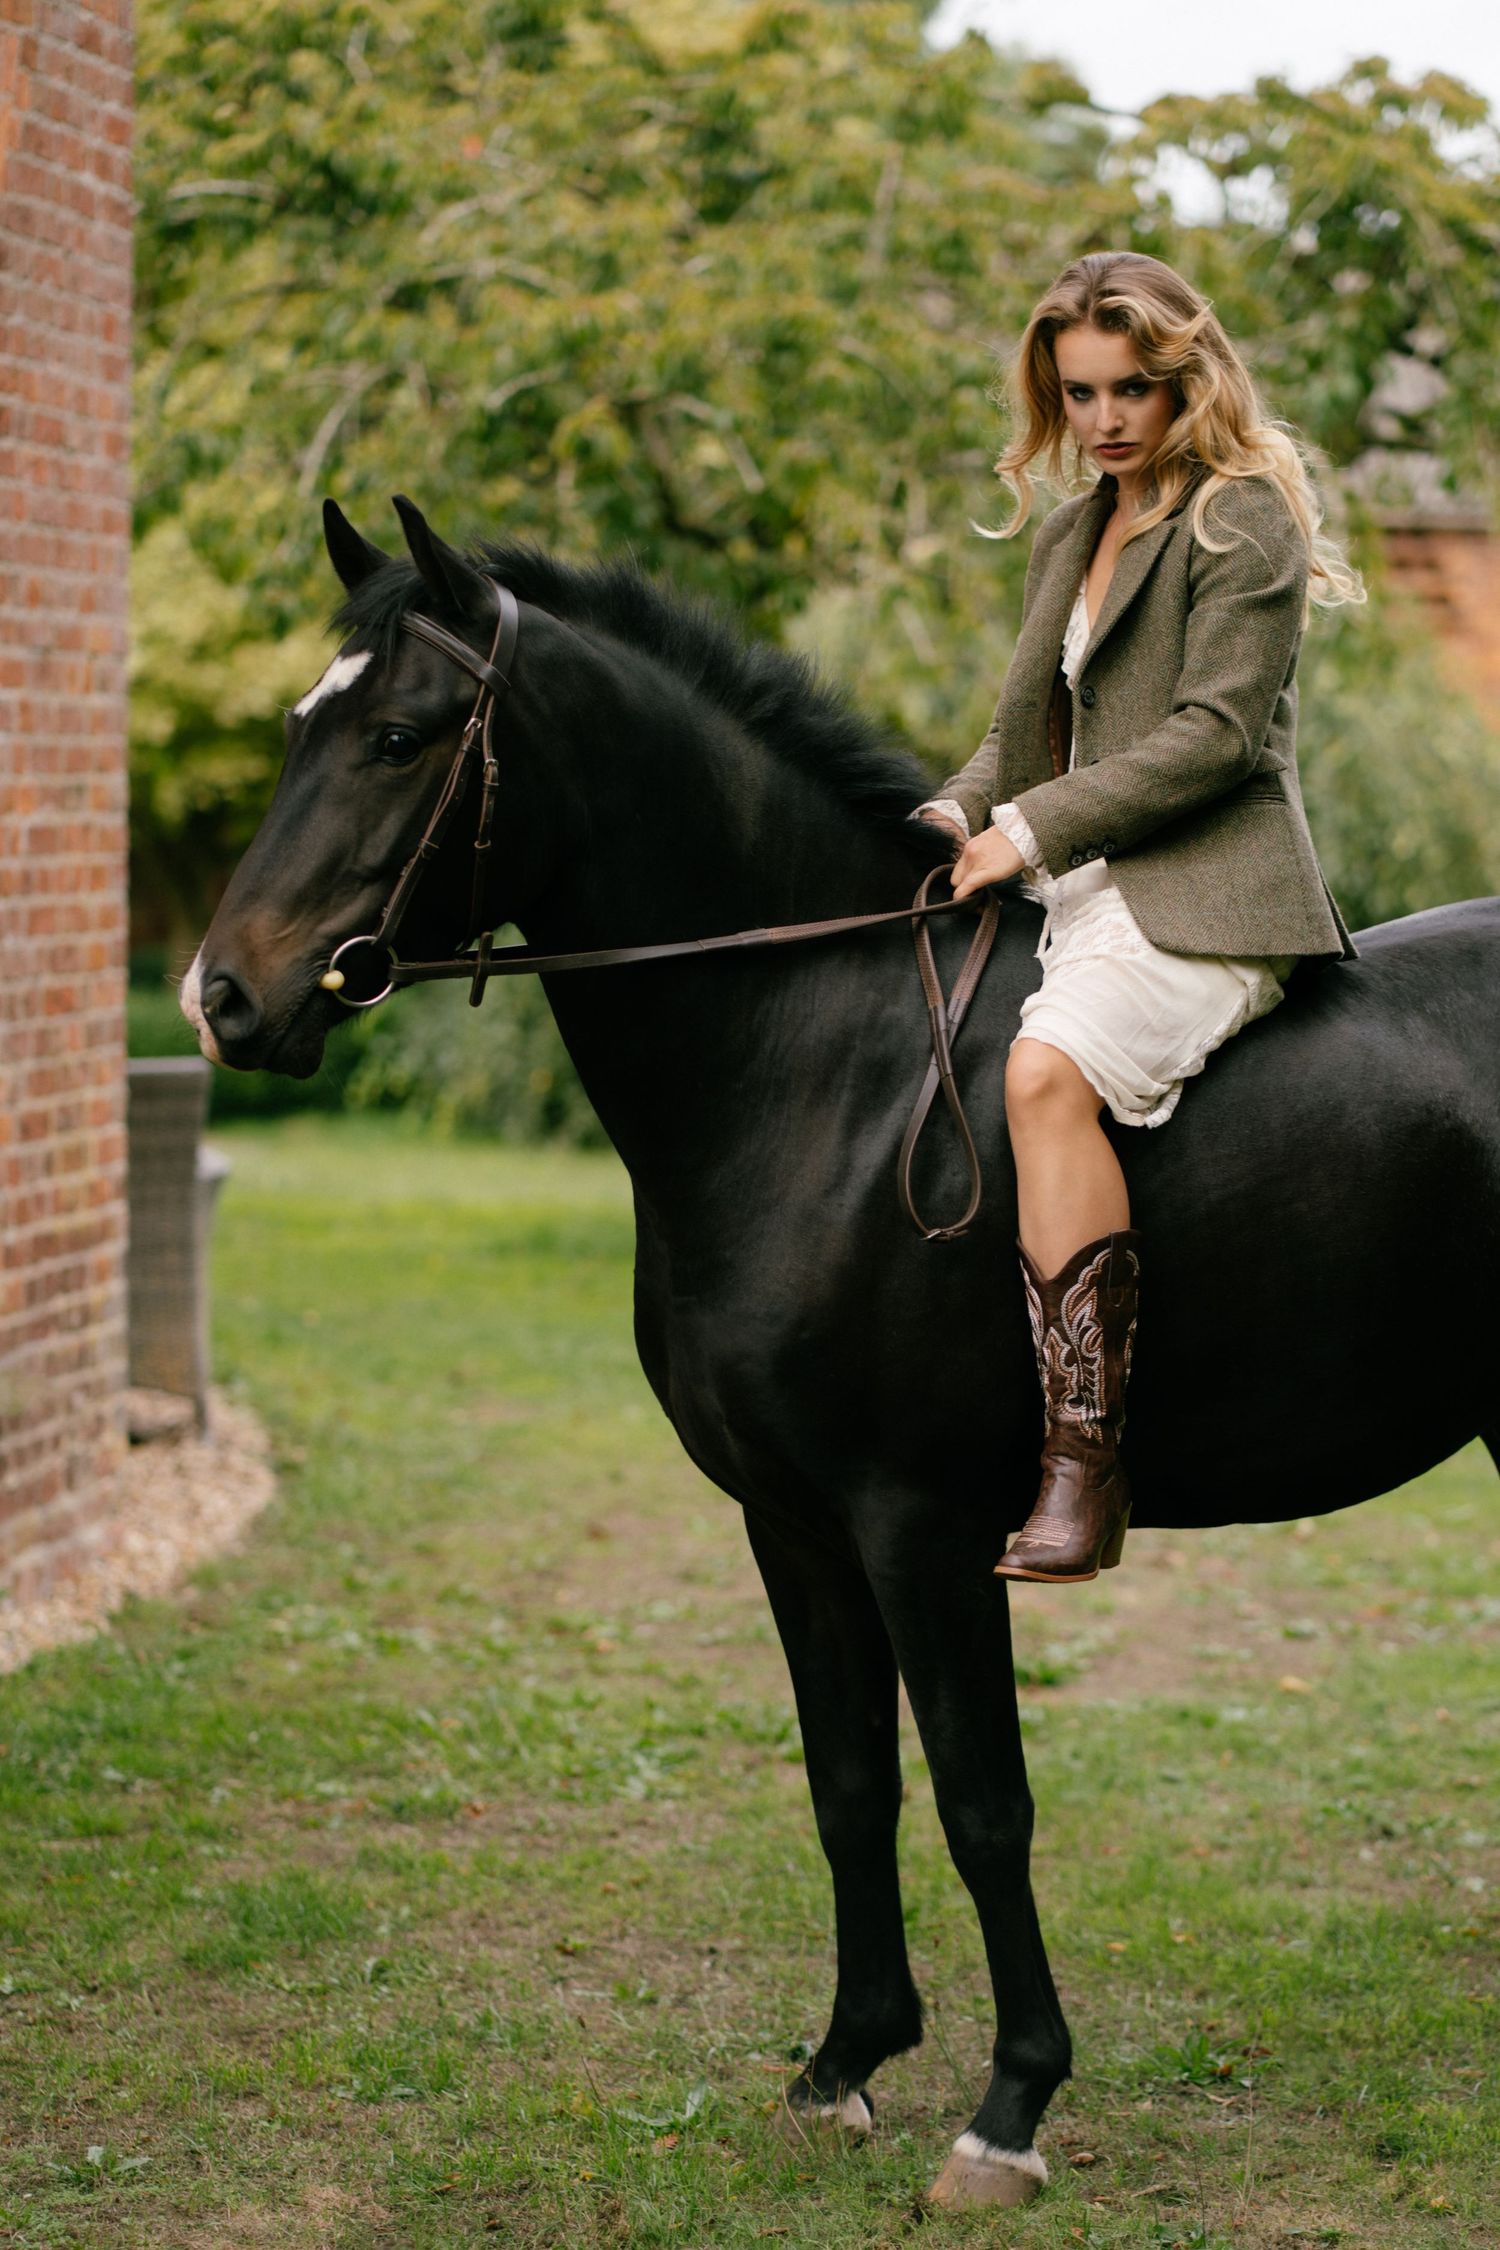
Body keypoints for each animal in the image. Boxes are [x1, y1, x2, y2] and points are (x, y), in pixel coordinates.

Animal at [181, 495, 1500, 2211]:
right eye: (296, 729)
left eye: (399, 737)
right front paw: (845, 2061)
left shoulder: (921, 1527)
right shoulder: (792, 1523)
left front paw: (1009, 2104)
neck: (817, 1061)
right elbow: (847, 1781)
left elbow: (983, 1801)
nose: (222, 998)